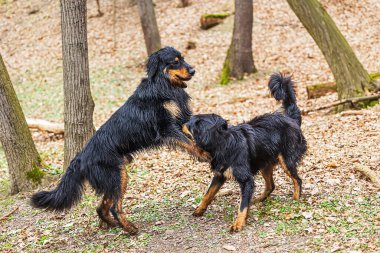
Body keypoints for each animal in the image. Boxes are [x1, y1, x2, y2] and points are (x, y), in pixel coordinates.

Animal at [31, 46, 211, 234]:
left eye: (183, 58)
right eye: (175, 61)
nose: (193, 70)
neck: (163, 84)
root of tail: (81, 157)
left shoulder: (180, 122)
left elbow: (191, 138)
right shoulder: (166, 127)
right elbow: (189, 143)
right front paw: (204, 155)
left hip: (116, 176)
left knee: (102, 207)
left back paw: (113, 224)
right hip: (116, 175)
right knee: (114, 207)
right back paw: (129, 229)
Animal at [183, 72, 308, 231]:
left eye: (190, 125)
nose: (181, 123)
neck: (223, 143)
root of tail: (291, 119)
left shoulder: (246, 179)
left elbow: (242, 205)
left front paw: (238, 223)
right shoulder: (220, 175)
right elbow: (208, 194)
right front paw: (199, 210)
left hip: (286, 160)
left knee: (297, 180)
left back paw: (295, 199)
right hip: (265, 163)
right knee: (271, 186)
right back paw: (258, 199)